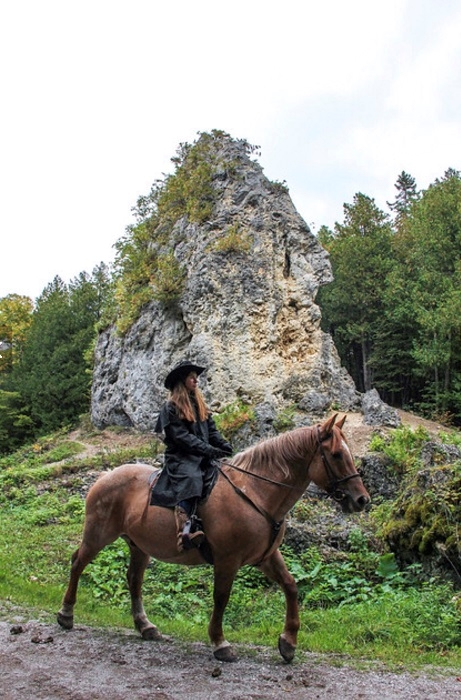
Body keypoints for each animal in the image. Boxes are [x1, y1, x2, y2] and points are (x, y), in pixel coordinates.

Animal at [57, 412, 368, 664]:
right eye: (337, 454)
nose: (361, 500)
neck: (256, 493)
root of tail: (105, 476)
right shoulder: (227, 560)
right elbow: (221, 597)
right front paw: (220, 642)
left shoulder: (266, 557)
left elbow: (291, 587)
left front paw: (288, 642)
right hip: (98, 535)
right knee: (78, 563)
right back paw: (66, 614)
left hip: (138, 546)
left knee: (134, 579)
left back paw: (146, 626)